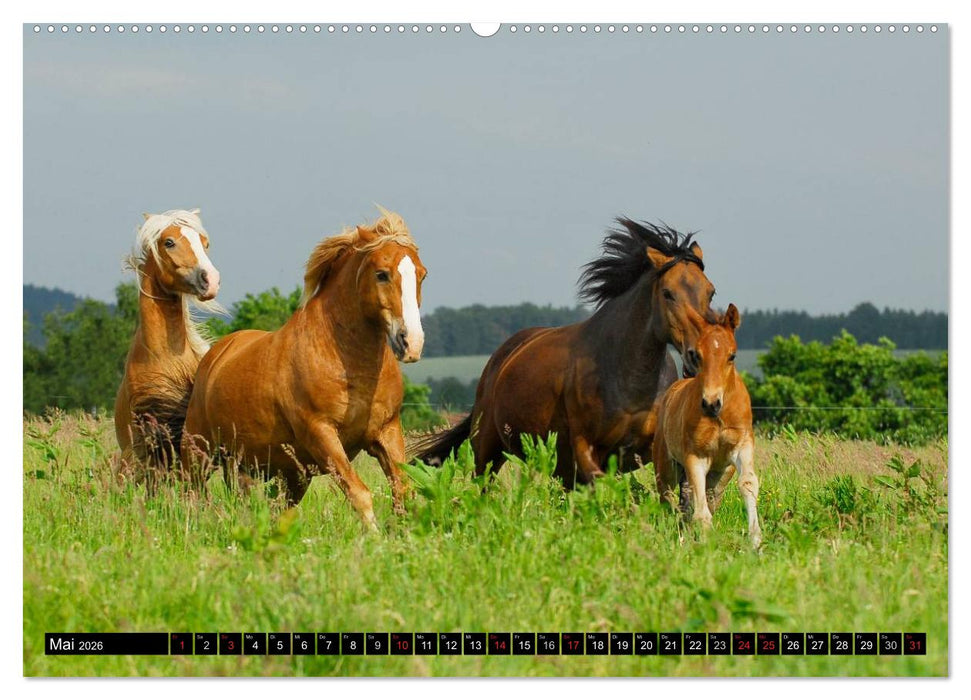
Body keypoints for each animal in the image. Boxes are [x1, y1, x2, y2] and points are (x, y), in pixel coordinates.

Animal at [181, 209, 426, 530]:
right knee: (192, 495)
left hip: (272, 470)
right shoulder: (321, 433)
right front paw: (374, 537)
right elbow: (359, 493)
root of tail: (214, 356)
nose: (411, 343)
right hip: (199, 452)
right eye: (382, 274)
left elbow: (403, 490)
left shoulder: (387, 431)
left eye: (421, 274)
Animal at [411, 218, 717, 487]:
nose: (697, 355)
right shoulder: (586, 446)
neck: (627, 375)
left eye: (710, 291)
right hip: (488, 449)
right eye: (667, 293)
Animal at [651, 303, 761, 547]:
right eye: (697, 354)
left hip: (721, 474)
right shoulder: (696, 456)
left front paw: (756, 541)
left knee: (705, 499)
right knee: (669, 499)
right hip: (666, 466)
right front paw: (706, 543)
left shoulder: (742, 446)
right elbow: (700, 511)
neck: (719, 416)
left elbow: (748, 484)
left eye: (732, 355)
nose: (711, 403)